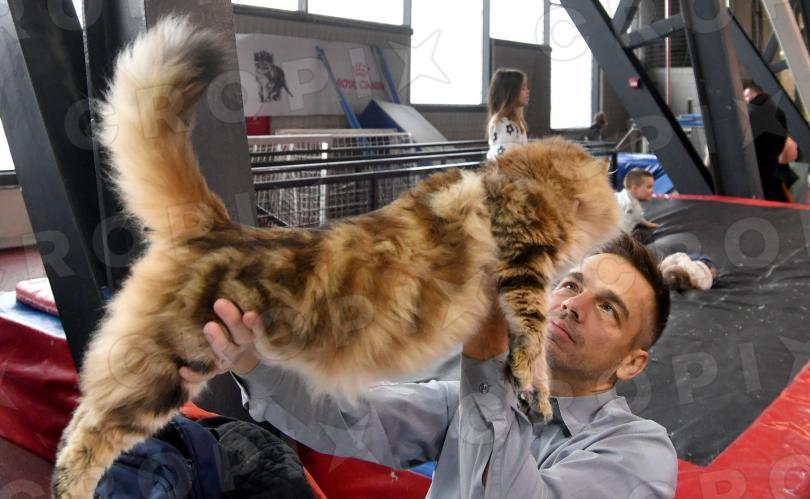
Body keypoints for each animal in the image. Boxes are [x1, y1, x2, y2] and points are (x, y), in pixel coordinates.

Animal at [52, 17, 620, 498]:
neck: (530, 177)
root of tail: (217, 226)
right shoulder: (522, 264)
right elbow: (533, 339)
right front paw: (535, 391)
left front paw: (531, 394)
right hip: (166, 365)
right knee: (85, 435)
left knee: (81, 418)